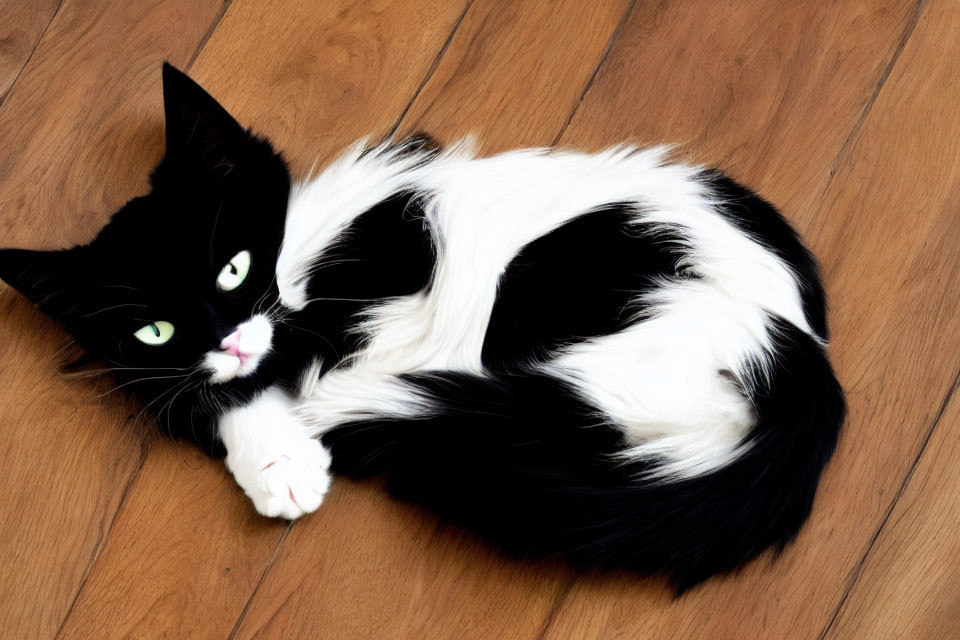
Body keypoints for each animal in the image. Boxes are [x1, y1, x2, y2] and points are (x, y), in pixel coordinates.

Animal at [0, 65, 840, 592]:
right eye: (155, 331)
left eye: (233, 269)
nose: (227, 336)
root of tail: (804, 365)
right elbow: (204, 390)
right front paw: (274, 457)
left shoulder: (396, 246)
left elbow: (288, 353)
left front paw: (290, 429)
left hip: (554, 288)